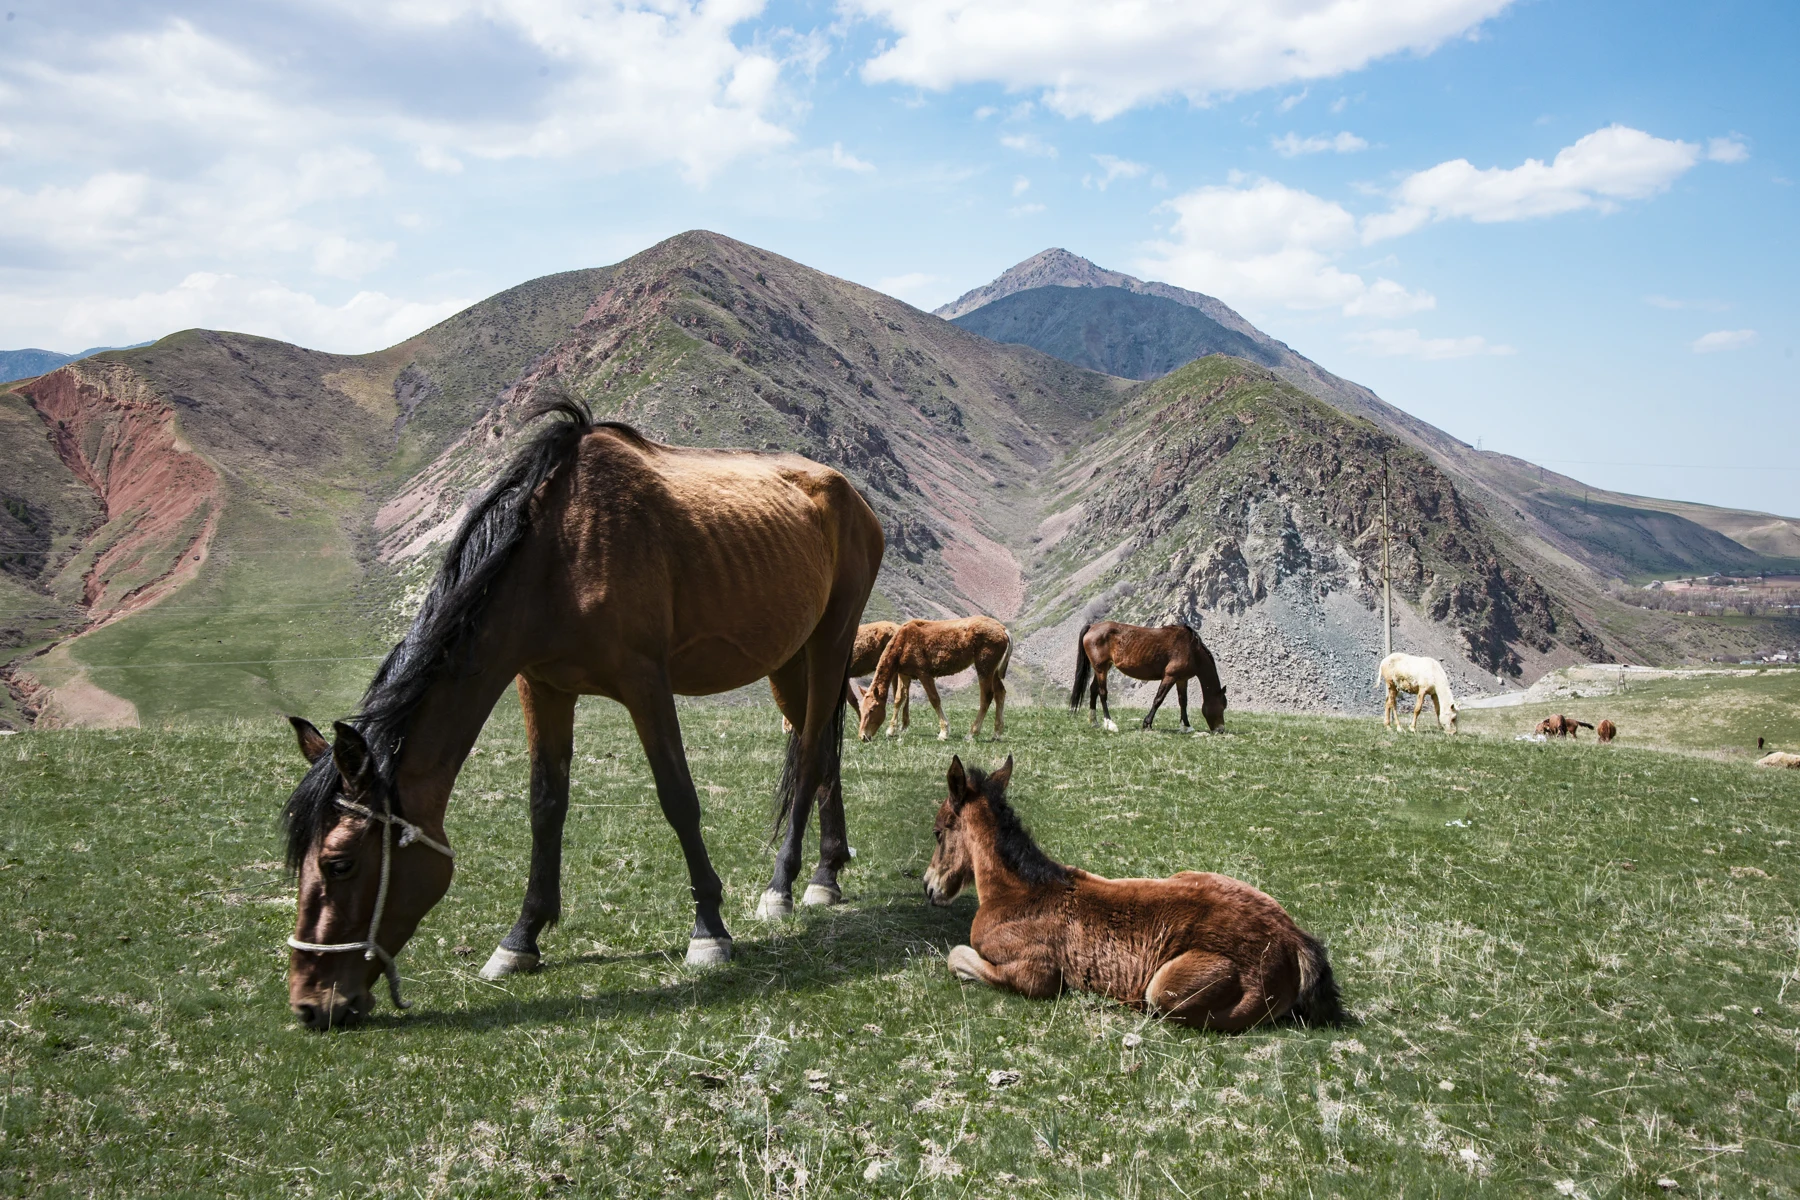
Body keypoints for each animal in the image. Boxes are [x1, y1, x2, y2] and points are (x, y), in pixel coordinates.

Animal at [279, 399, 884, 1029]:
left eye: (340, 863)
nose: (310, 1004)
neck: (557, 554)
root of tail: (851, 494)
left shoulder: (645, 683)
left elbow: (678, 798)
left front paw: (709, 931)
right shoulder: (540, 687)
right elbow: (546, 806)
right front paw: (521, 939)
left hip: (831, 641)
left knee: (811, 753)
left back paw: (784, 884)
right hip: (788, 661)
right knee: (823, 755)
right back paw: (827, 873)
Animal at [857, 616, 1010, 742]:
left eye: (872, 709)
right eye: (861, 710)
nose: (863, 736)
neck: (904, 641)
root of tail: (1003, 629)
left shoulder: (924, 674)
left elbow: (934, 699)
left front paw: (944, 732)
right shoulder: (904, 675)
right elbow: (899, 699)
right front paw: (891, 730)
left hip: (984, 668)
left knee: (987, 697)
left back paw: (971, 734)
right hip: (993, 671)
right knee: (1000, 693)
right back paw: (997, 733)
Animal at [923, 756, 1349, 1031]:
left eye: (938, 831)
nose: (929, 888)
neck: (1018, 892)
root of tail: (1295, 940)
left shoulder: (1036, 973)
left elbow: (957, 956)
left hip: (1166, 988)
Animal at [1069, 621, 1227, 734]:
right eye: (1223, 706)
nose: (1221, 730)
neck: (1191, 650)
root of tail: (1092, 626)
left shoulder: (1182, 679)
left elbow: (1183, 701)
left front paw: (1186, 726)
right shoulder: (1170, 676)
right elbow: (1158, 699)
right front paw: (1147, 723)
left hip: (1103, 668)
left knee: (1093, 690)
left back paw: (1094, 722)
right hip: (1101, 669)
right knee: (1102, 693)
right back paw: (1110, 724)